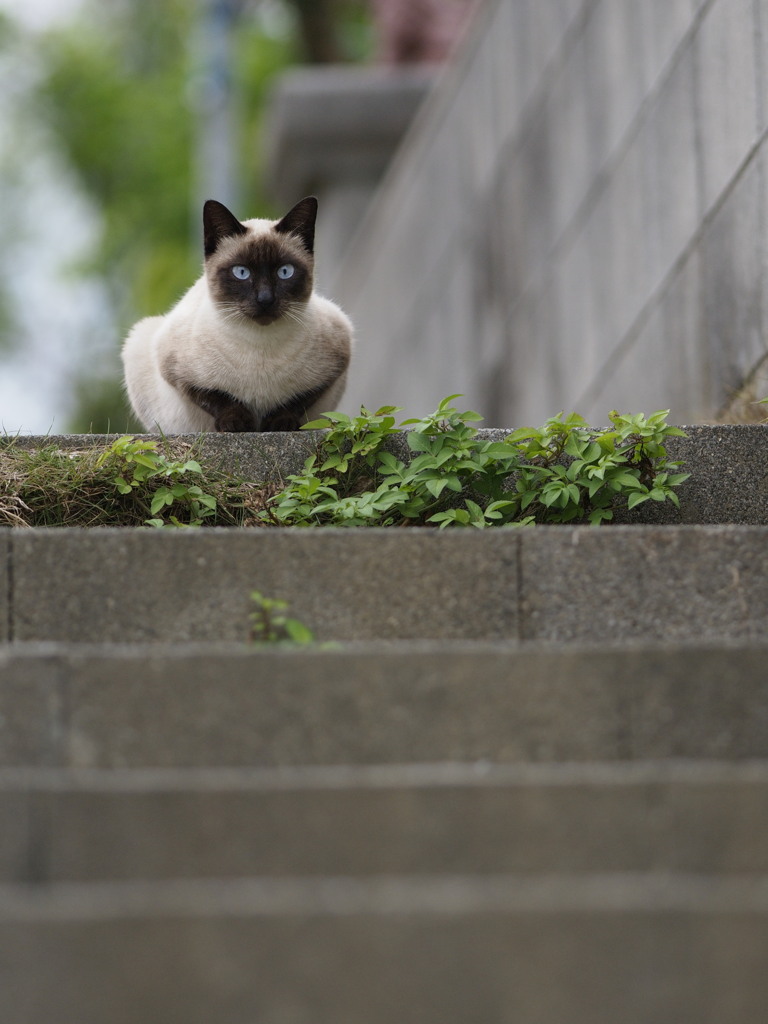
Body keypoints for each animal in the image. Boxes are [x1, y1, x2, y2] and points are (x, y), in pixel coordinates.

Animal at [122, 195, 354, 432]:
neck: (260, 348)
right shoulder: (175, 370)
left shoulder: (336, 361)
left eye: (285, 272)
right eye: (241, 272)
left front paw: (280, 423)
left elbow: (296, 401)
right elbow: (218, 398)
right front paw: (237, 423)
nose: (265, 299)